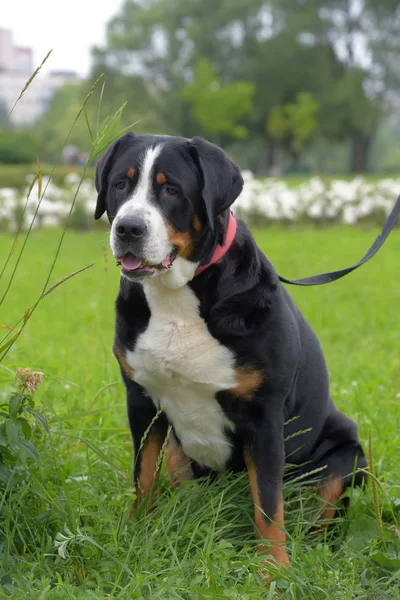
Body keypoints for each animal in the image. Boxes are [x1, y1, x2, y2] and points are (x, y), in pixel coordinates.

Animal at [93, 131, 366, 568]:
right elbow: (143, 477)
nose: (128, 227)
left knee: (318, 510)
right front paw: (136, 535)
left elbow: (268, 505)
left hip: (347, 450)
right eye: (121, 183)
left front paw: (274, 570)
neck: (176, 298)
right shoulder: (142, 401)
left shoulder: (264, 417)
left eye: (171, 189)